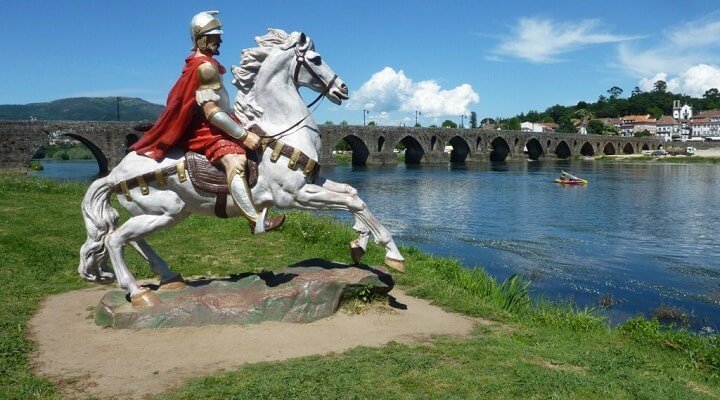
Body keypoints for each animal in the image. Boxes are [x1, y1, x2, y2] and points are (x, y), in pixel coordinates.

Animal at [81, 29, 404, 304]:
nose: (343, 88)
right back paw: (138, 292)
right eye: (316, 59)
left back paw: (169, 277)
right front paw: (392, 253)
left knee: (133, 240)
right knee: (114, 240)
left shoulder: (312, 182)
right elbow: (352, 201)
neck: (282, 131)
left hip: (162, 213)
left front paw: (360, 242)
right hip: (165, 211)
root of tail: (114, 175)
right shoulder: (294, 196)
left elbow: (351, 193)